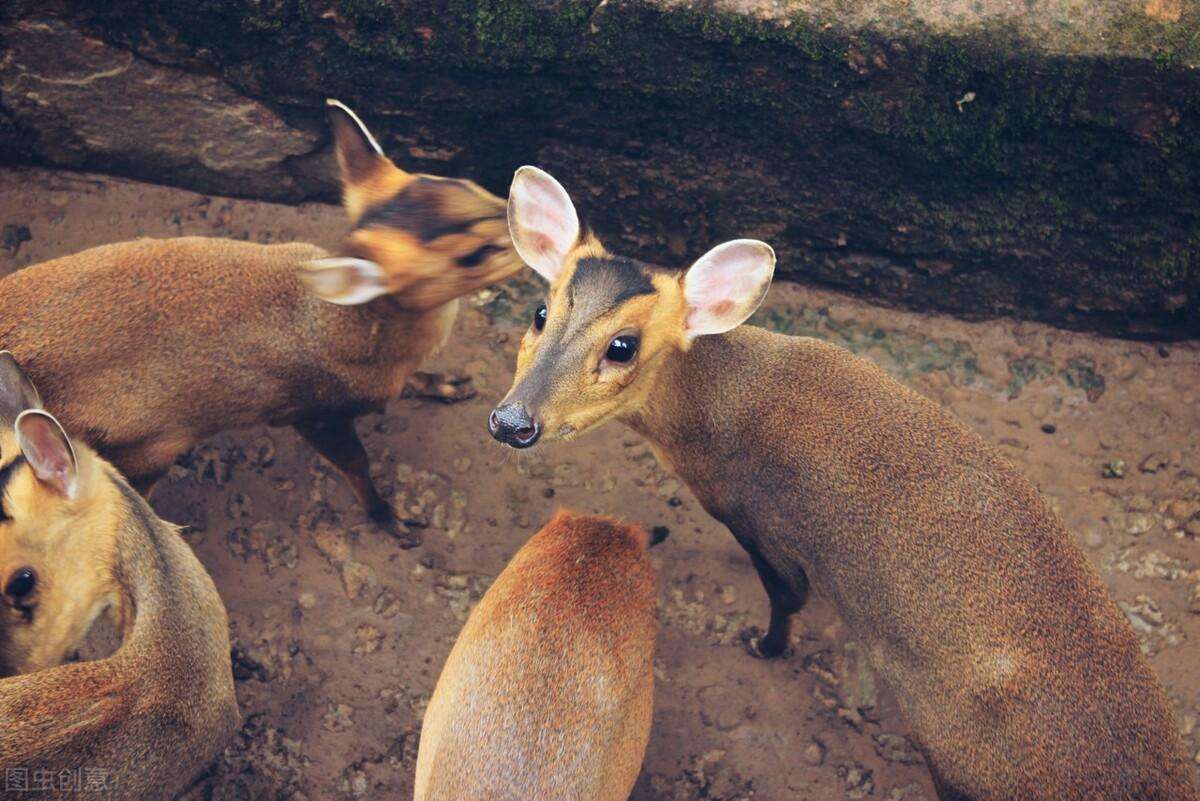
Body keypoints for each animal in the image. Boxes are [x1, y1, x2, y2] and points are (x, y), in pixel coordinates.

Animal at [0, 98, 525, 537]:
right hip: (148, 454)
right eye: (472, 255)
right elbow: (356, 465)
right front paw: (392, 520)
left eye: (465, 183)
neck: (352, 329)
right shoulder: (314, 413)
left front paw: (449, 385)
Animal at [487, 165, 1200, 801]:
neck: (713, 413)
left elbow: (788, 597)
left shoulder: (761, 519)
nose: (512, 421)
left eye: (623, 346)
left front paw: (764, 646)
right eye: (540, 310)